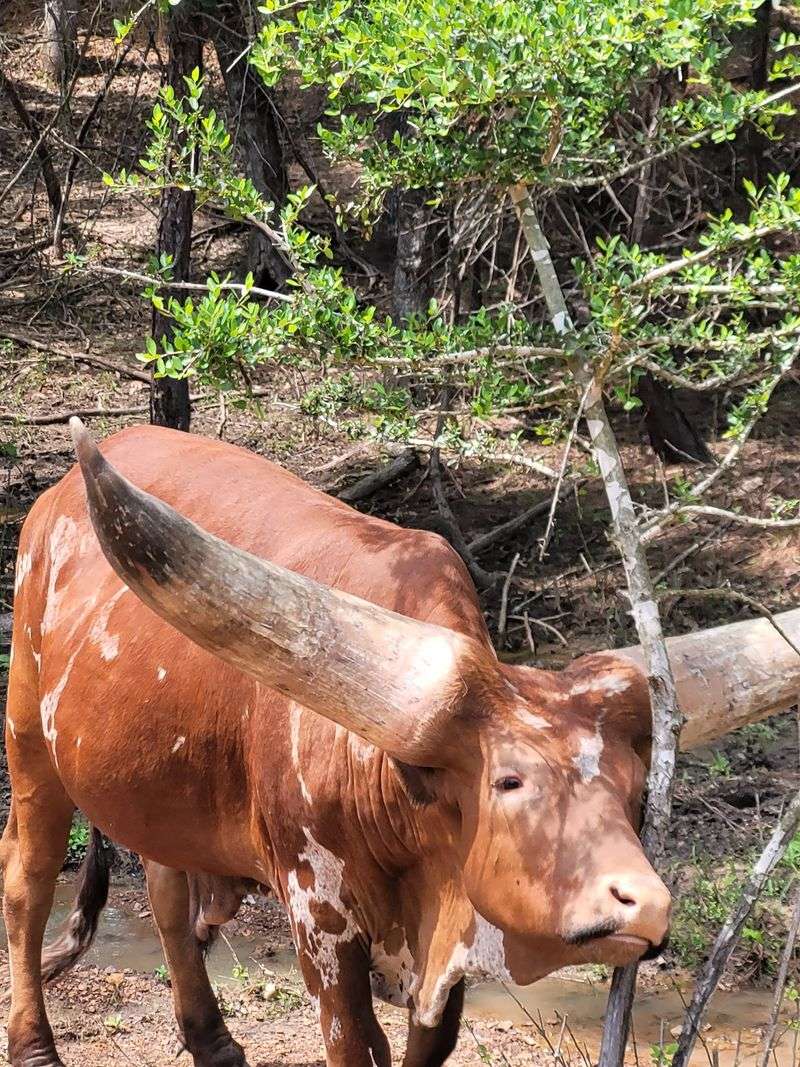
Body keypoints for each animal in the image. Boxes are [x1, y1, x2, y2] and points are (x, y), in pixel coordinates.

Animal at [3, 418, 799, 1067]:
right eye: (509, 781)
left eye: (635, 791)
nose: (646, 904)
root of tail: (57, 497)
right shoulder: (319, 919)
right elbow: (355, 1042)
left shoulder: (444, 947)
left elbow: (427, 1043)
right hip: (28, 733)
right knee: (27, 877)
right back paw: (36, 1046)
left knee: (167, 892)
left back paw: (213, 1041)